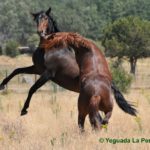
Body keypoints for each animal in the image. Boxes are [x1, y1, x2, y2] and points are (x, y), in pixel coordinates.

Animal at [0, 7, 136, 125]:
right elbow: (17, 70)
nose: (41, 32)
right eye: (36, 19)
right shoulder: (37, 69)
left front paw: (24, 110)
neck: (50, 47)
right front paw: (2, 85)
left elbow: (32, 88)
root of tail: (109, 83)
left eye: (46, 18)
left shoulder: (48, 74)